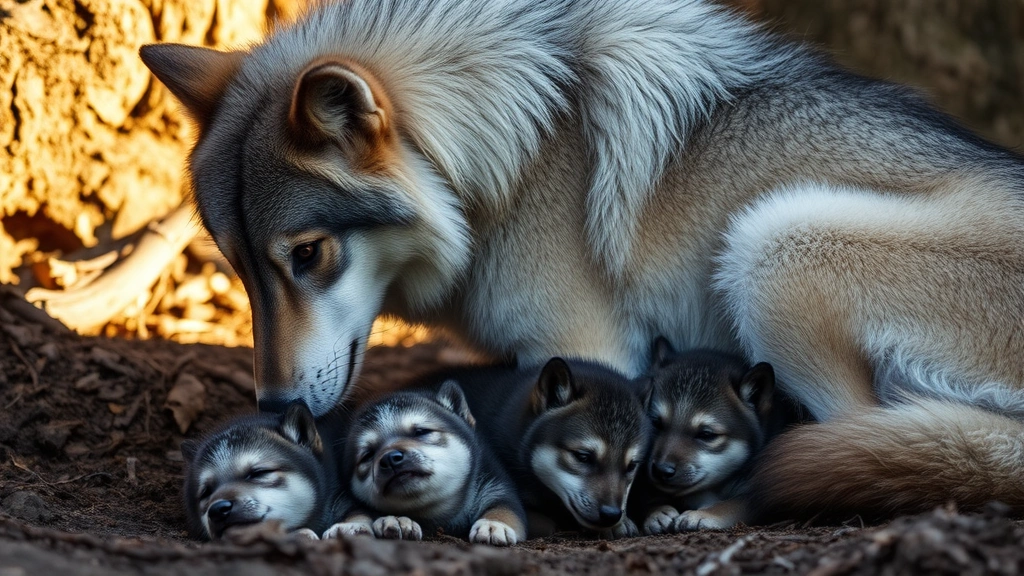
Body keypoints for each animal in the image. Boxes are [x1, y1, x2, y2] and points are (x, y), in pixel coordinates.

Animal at [142, 0, 1024, 519]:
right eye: (241, 266)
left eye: (309, 253)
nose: (272, 403)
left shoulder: (587, 350)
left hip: (775, 241)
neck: (506, 159)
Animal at [324, 382, 526, 545]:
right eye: (367, 455)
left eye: (421, 432)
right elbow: (359, 512)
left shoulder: (495, 483)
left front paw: (494, 525)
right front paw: (395, 520)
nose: (390, 458)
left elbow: (504, 508)